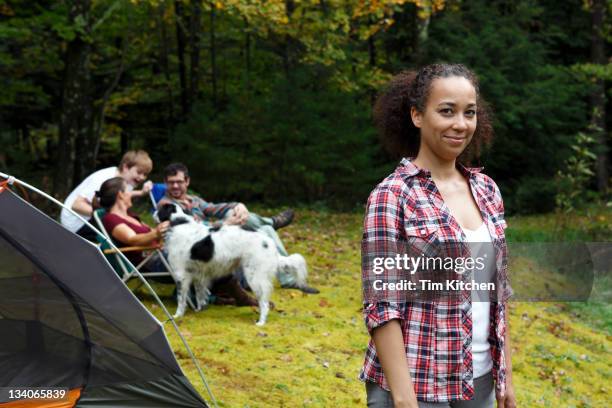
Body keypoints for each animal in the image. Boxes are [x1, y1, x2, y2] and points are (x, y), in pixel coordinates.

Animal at [157, 204, 306, 326]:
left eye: (160, 209)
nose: (154, 212)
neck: (179, 223)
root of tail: (269, 242)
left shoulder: (181, 275)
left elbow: (181, 299)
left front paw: (177, 316)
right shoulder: (198, 274)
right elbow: (200, 295)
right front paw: (199, 310)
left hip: (254, 277)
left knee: (264, 303)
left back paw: (260, 322)